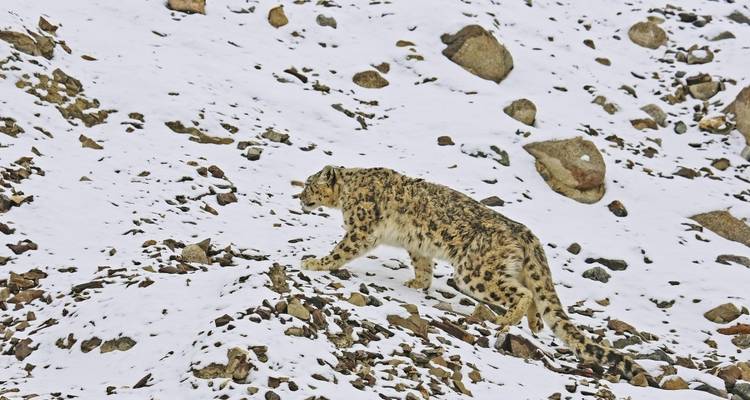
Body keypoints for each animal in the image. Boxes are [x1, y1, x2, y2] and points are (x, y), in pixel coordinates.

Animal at [298, 165, 656, 386]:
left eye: (310, 184)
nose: (300, 199)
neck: (348, 192)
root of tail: (526, 233)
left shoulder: (361, 229)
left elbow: (342, 249)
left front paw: (314, 262)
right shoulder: (417, 247)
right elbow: (423, 265)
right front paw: (416, 283)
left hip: (473, 271)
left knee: (522, 293)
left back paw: (505, 320)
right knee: (534, 293)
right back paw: (534, 323)